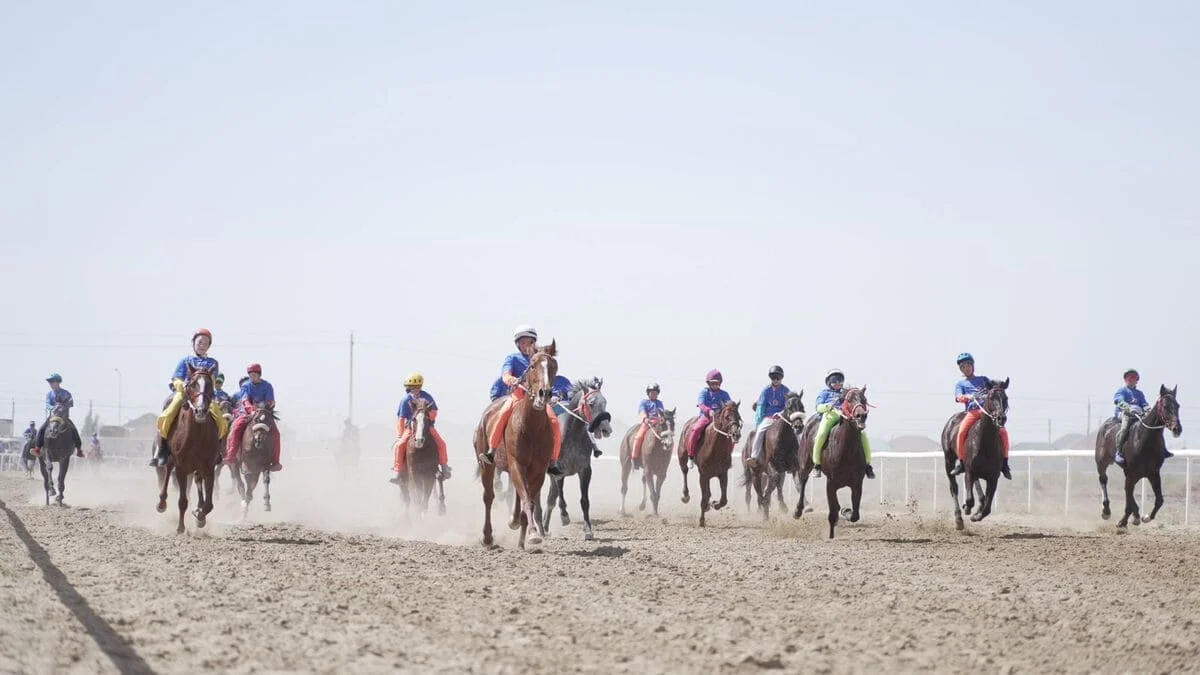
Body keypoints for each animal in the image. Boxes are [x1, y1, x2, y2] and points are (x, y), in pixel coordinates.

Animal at [156, 365, 222, 533]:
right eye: (192, 384)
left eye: (210, 385)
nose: (201, 410)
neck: (196, 435)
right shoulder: (181, 468)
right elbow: (182, 501)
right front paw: (180, 527)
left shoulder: (209, 468)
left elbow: (209, 505)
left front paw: (200, 517)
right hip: (173, 460)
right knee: (167, 470)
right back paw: (161, 503)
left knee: (198, 481)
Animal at [547, 374, 614, 538]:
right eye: (591, 403)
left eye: (605, 402)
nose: (606, 429)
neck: (571, 435)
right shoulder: (558, 471)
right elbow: (558, 495)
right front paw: (564, 516)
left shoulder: (585, 470)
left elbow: (584, 500)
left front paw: (588, 530)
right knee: (553, 495)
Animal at [676, 398, 739, 526]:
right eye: (726, 417)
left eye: (738, 416)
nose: (736, 434)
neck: (715, 449)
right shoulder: (703, 475)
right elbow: (704, 498)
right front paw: (701, 520)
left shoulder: (723, 473)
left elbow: (723, 500)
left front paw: (714, 504)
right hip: (682, 456)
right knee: (684, 470)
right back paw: (685, 495)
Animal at [936, 374, 1003, 528]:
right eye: (991, 397)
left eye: (1005, 397)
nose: (1001, 418)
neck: (985, 442)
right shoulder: (969, 471)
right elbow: (969, 499)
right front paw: (967, 508)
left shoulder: (993, 477)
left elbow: (987, 507)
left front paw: (977, 514)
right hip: (949, 459)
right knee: (953, 487)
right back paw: (959, 519)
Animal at [1099, 384, 1180, 526]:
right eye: (1165, 406)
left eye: (1177, 405)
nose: (1177, 428)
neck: (1145, 441)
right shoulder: (1131, 473)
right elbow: (1129, 495)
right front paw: (1126, 520)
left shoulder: (1153, 473)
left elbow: (1159, 500)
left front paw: (1145, 517)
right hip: (1102, 460)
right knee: (1103, 479)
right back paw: (1106, 511)